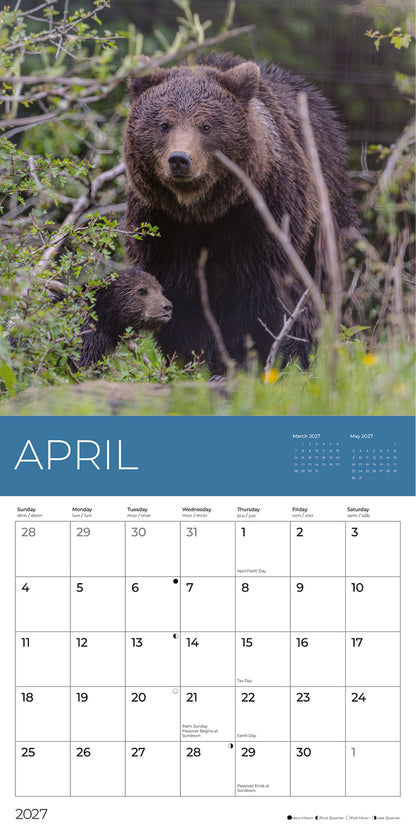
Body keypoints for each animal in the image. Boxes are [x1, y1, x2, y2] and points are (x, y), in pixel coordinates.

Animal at [122, 52, 356, 373]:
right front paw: (191, 358)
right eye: (164, 124)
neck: (202, 211)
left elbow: (259, 302)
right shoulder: (163, 229)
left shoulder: (259, 220)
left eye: (206, 126)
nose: (180, 160)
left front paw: (245, 358)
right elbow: (179, 300)